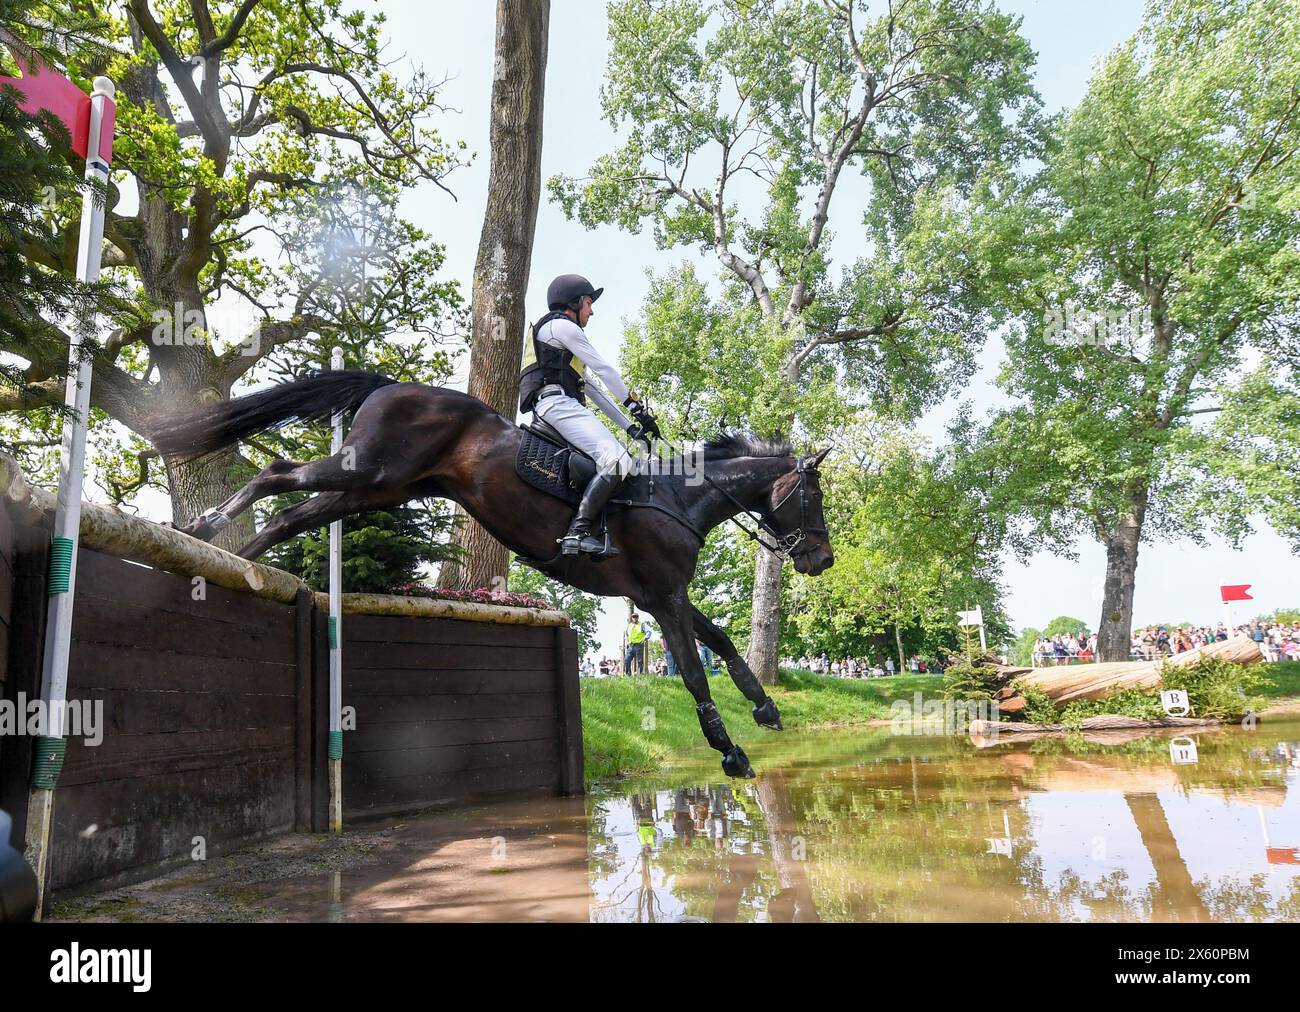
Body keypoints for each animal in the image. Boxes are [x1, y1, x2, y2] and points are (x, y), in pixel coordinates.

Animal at [149, 369, 832, 775]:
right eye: (812, 497)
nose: (821, 560)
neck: (680, 496)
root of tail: (391, 387)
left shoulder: (661, 593)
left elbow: (721, 643)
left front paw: (764, 707)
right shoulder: (662, 597)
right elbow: (692, 669)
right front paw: (730, 750)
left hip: (380, 489)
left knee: (293, 512)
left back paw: (239, 556)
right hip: (368, 470)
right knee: (277, 473)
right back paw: (208, 529)